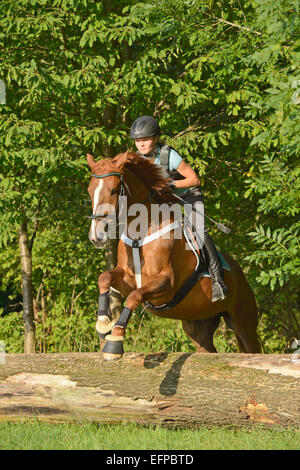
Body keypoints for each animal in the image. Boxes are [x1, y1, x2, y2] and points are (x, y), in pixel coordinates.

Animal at [86, 151, 260, 360]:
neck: (139, 234)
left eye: (113, 191)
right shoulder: (127, 278)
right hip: (199, 325)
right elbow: (105, 278)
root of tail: (239, 273)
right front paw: (104, 323)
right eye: (89, 190)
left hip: (244, 321)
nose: (96, 236)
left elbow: (134, 297)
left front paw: (115, 341)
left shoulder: (166, 283)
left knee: (252, 345)